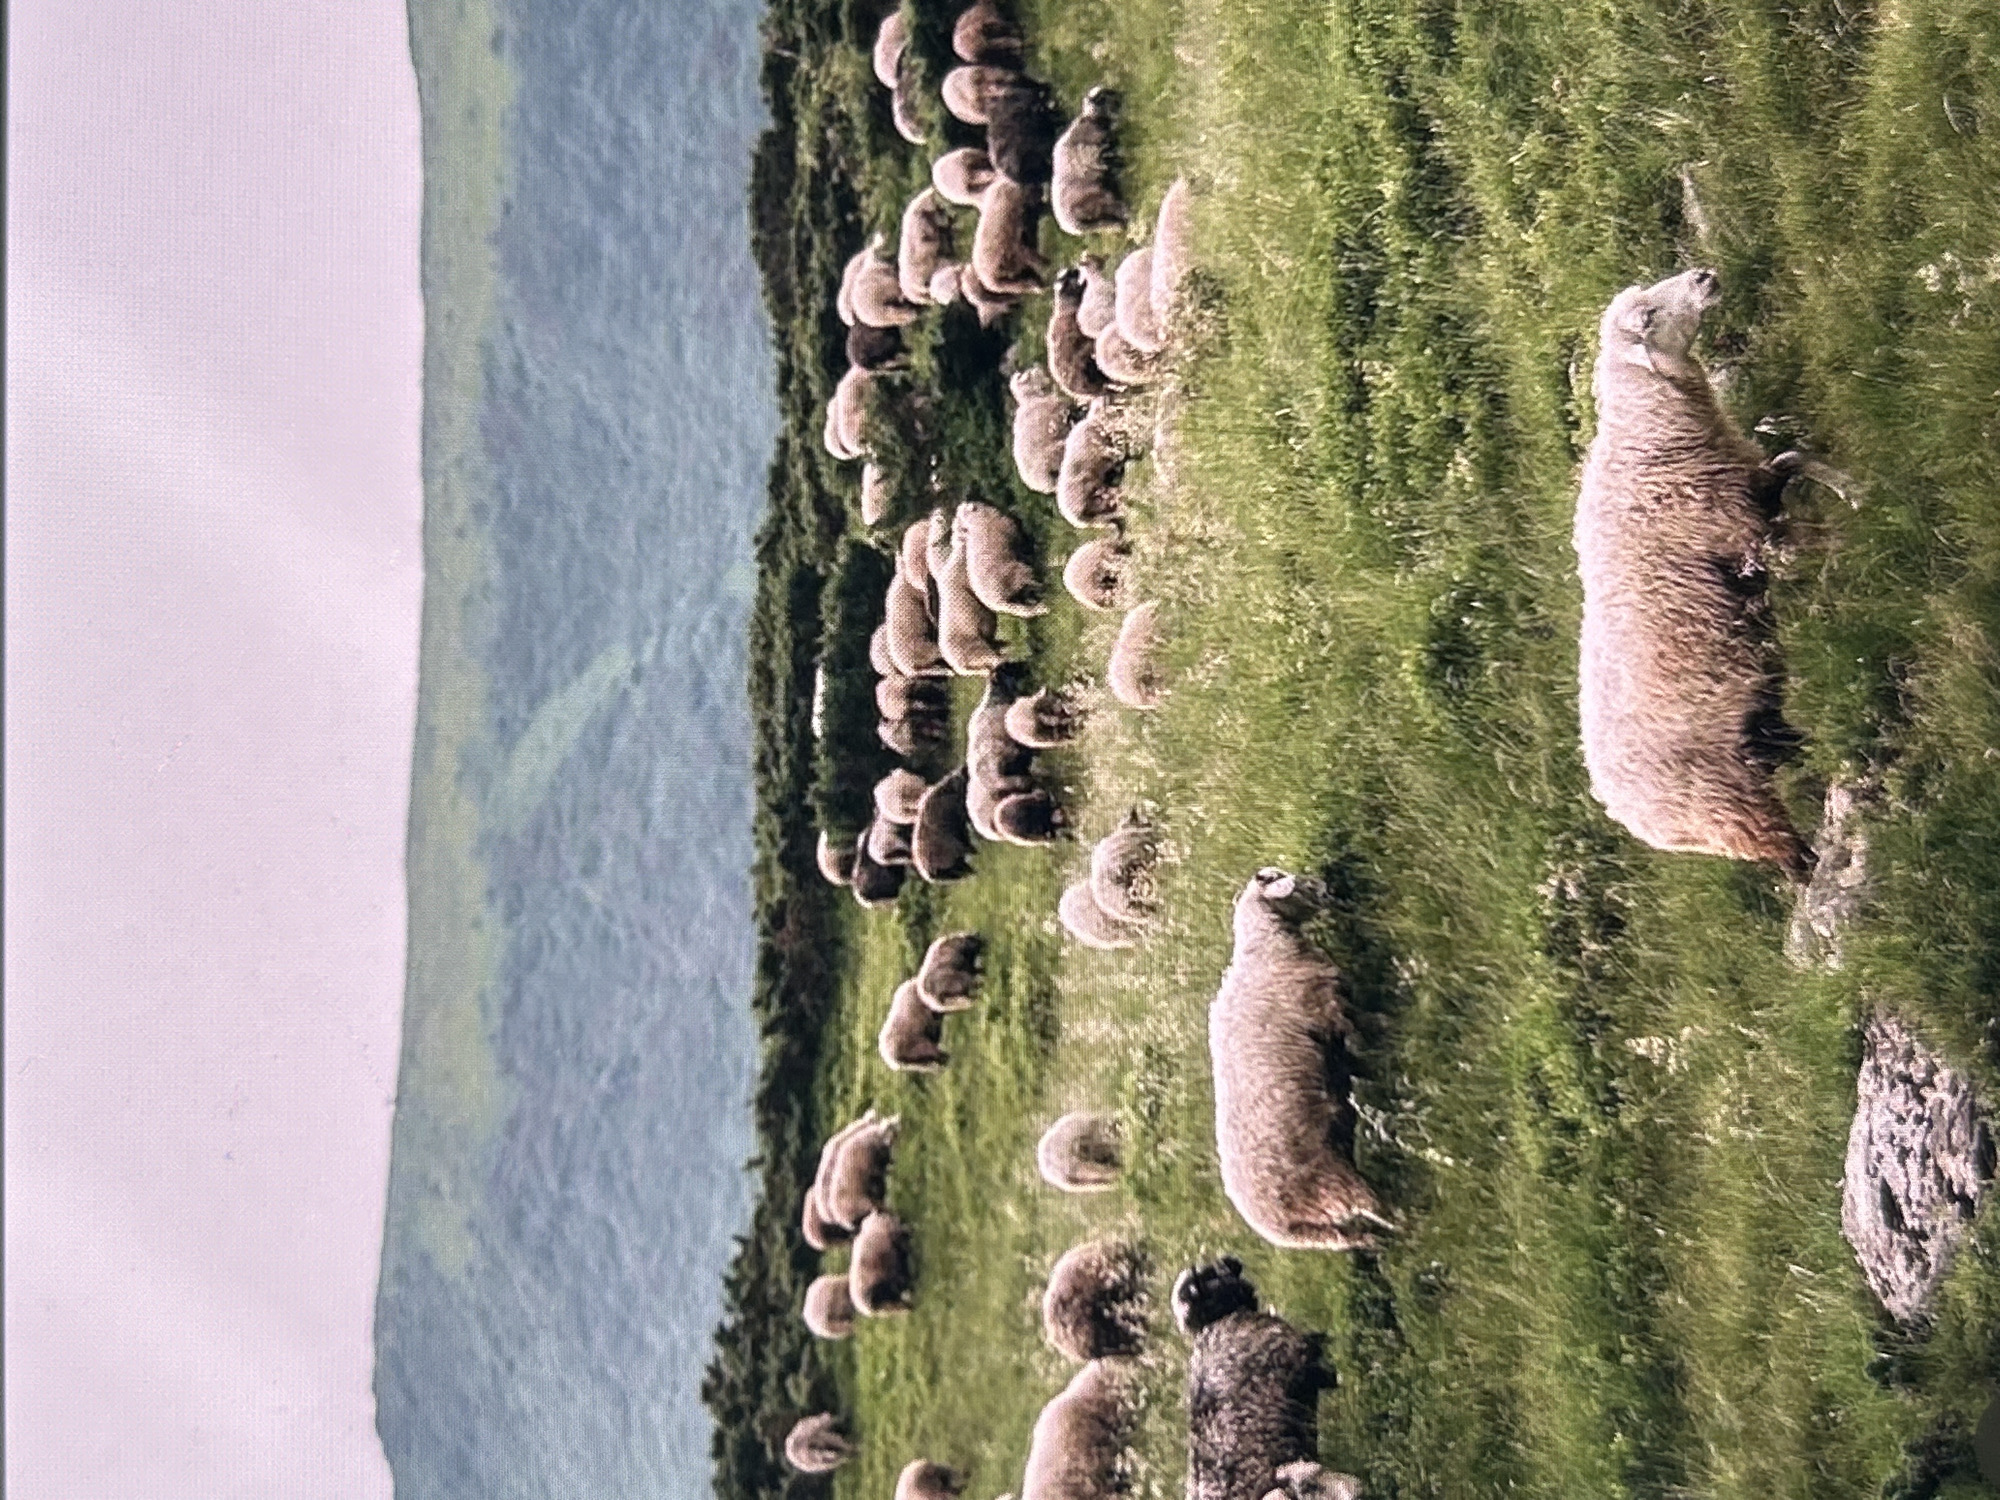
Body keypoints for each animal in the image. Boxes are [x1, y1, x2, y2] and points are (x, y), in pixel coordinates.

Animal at [1053, 89, 1126, 237]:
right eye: (1104, 97)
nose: (1121, 96)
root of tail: (1070, 225)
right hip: (1097, 201)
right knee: (1113, 208)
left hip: (1095, 220)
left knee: (1108, 223)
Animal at [1211, 869, 1388, 1249]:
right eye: (1288, 881)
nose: (1327, 888)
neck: (1266, 949)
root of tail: (1272, 1225)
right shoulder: (1329, 1009)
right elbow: (1364, 1031)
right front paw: (1388, 1031)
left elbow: (1359, 1060)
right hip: (1331, 1183)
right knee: (1376, 1208)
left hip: (1321, 1232)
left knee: (1356, 1236)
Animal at [1575, 267, 1830, 873]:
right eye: (1646, 317)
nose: (1704, 276)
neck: (1648, 445)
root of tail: (1621, 810)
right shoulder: (1744, 534)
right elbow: (1795, 516)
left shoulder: (1754, 497)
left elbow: (1791, 461)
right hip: (1727, 801)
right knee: (1786, 853)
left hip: (1745, 741)